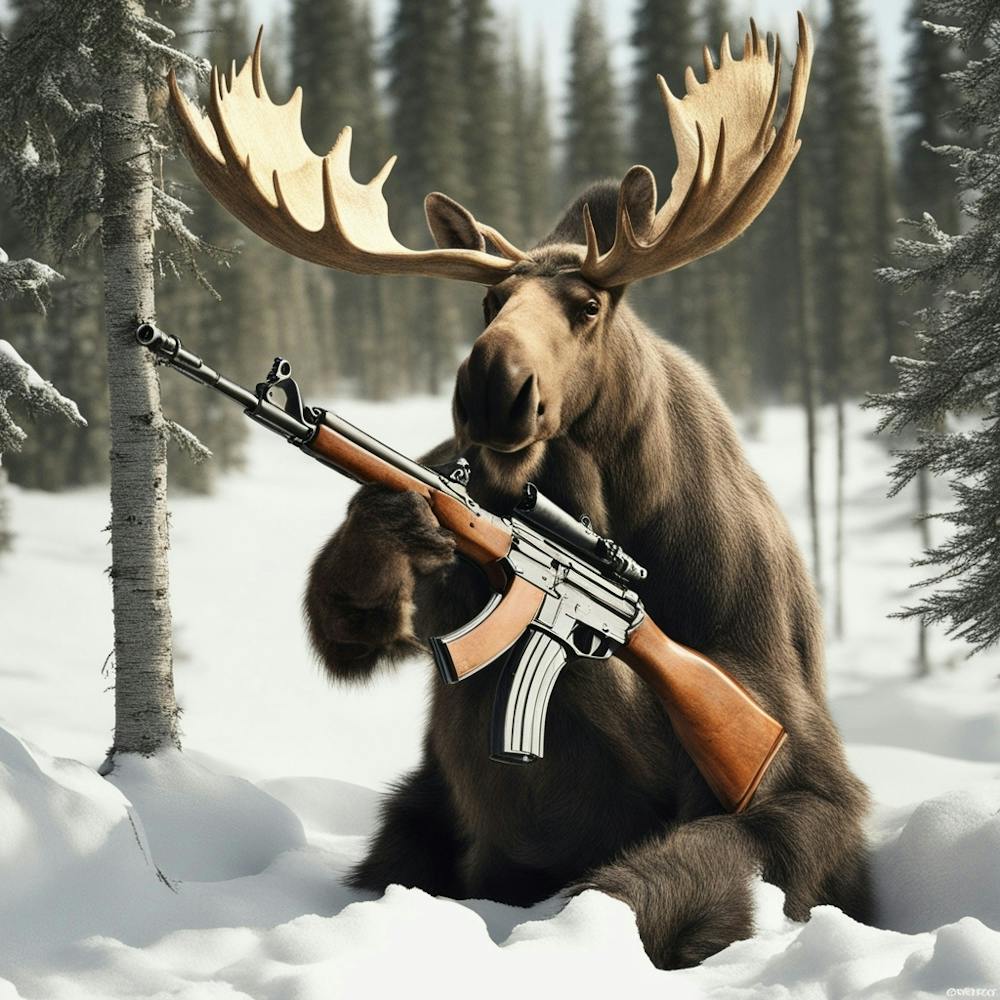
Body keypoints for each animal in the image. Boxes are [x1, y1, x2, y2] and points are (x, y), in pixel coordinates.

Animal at [169, 12, 872, 969]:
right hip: (416, 807)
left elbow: (689, 854)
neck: (597, 503)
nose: (490, 384)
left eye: (587, 305)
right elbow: (349, 622)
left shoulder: (804, 779)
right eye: (489, 299)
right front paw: (395, 517)